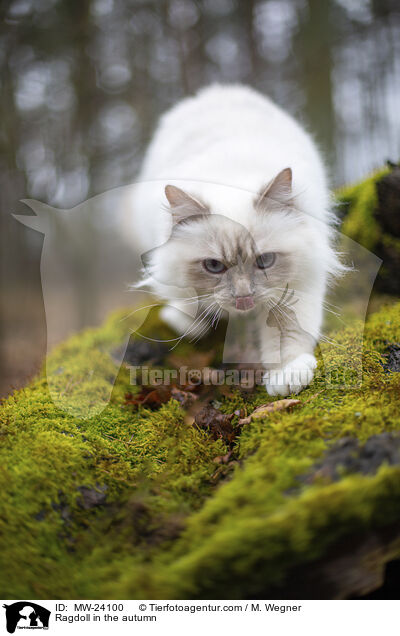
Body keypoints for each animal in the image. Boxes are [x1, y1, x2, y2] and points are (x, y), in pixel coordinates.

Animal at [126, 84, 342, 392]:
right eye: (214, 266)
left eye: (265, 261)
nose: (243, 297)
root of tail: (218, 90)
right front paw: (190, 319)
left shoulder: (297, 284)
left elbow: (287, 334)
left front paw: (286, 375)